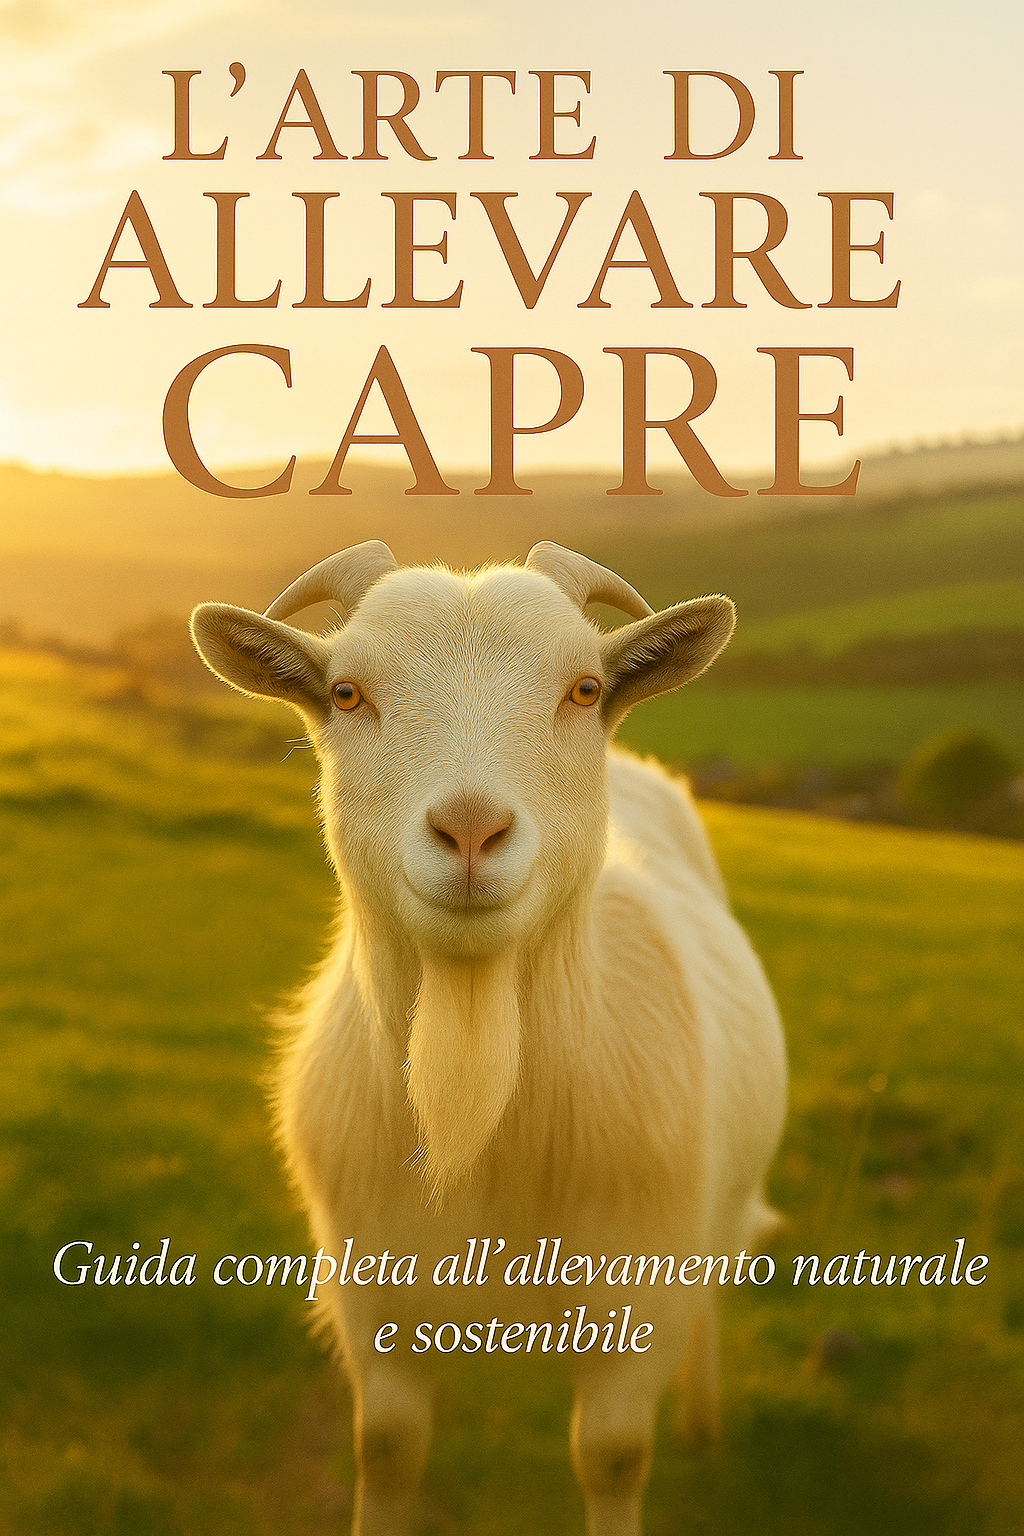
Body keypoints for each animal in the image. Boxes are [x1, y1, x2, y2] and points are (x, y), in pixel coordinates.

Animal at [190, 541, 787, 1536]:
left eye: (585, 690)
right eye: (346, 693)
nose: (471, 829)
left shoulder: (638, 1305)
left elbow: (612, 1456)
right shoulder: (374, 1303)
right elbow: (388, 1448)